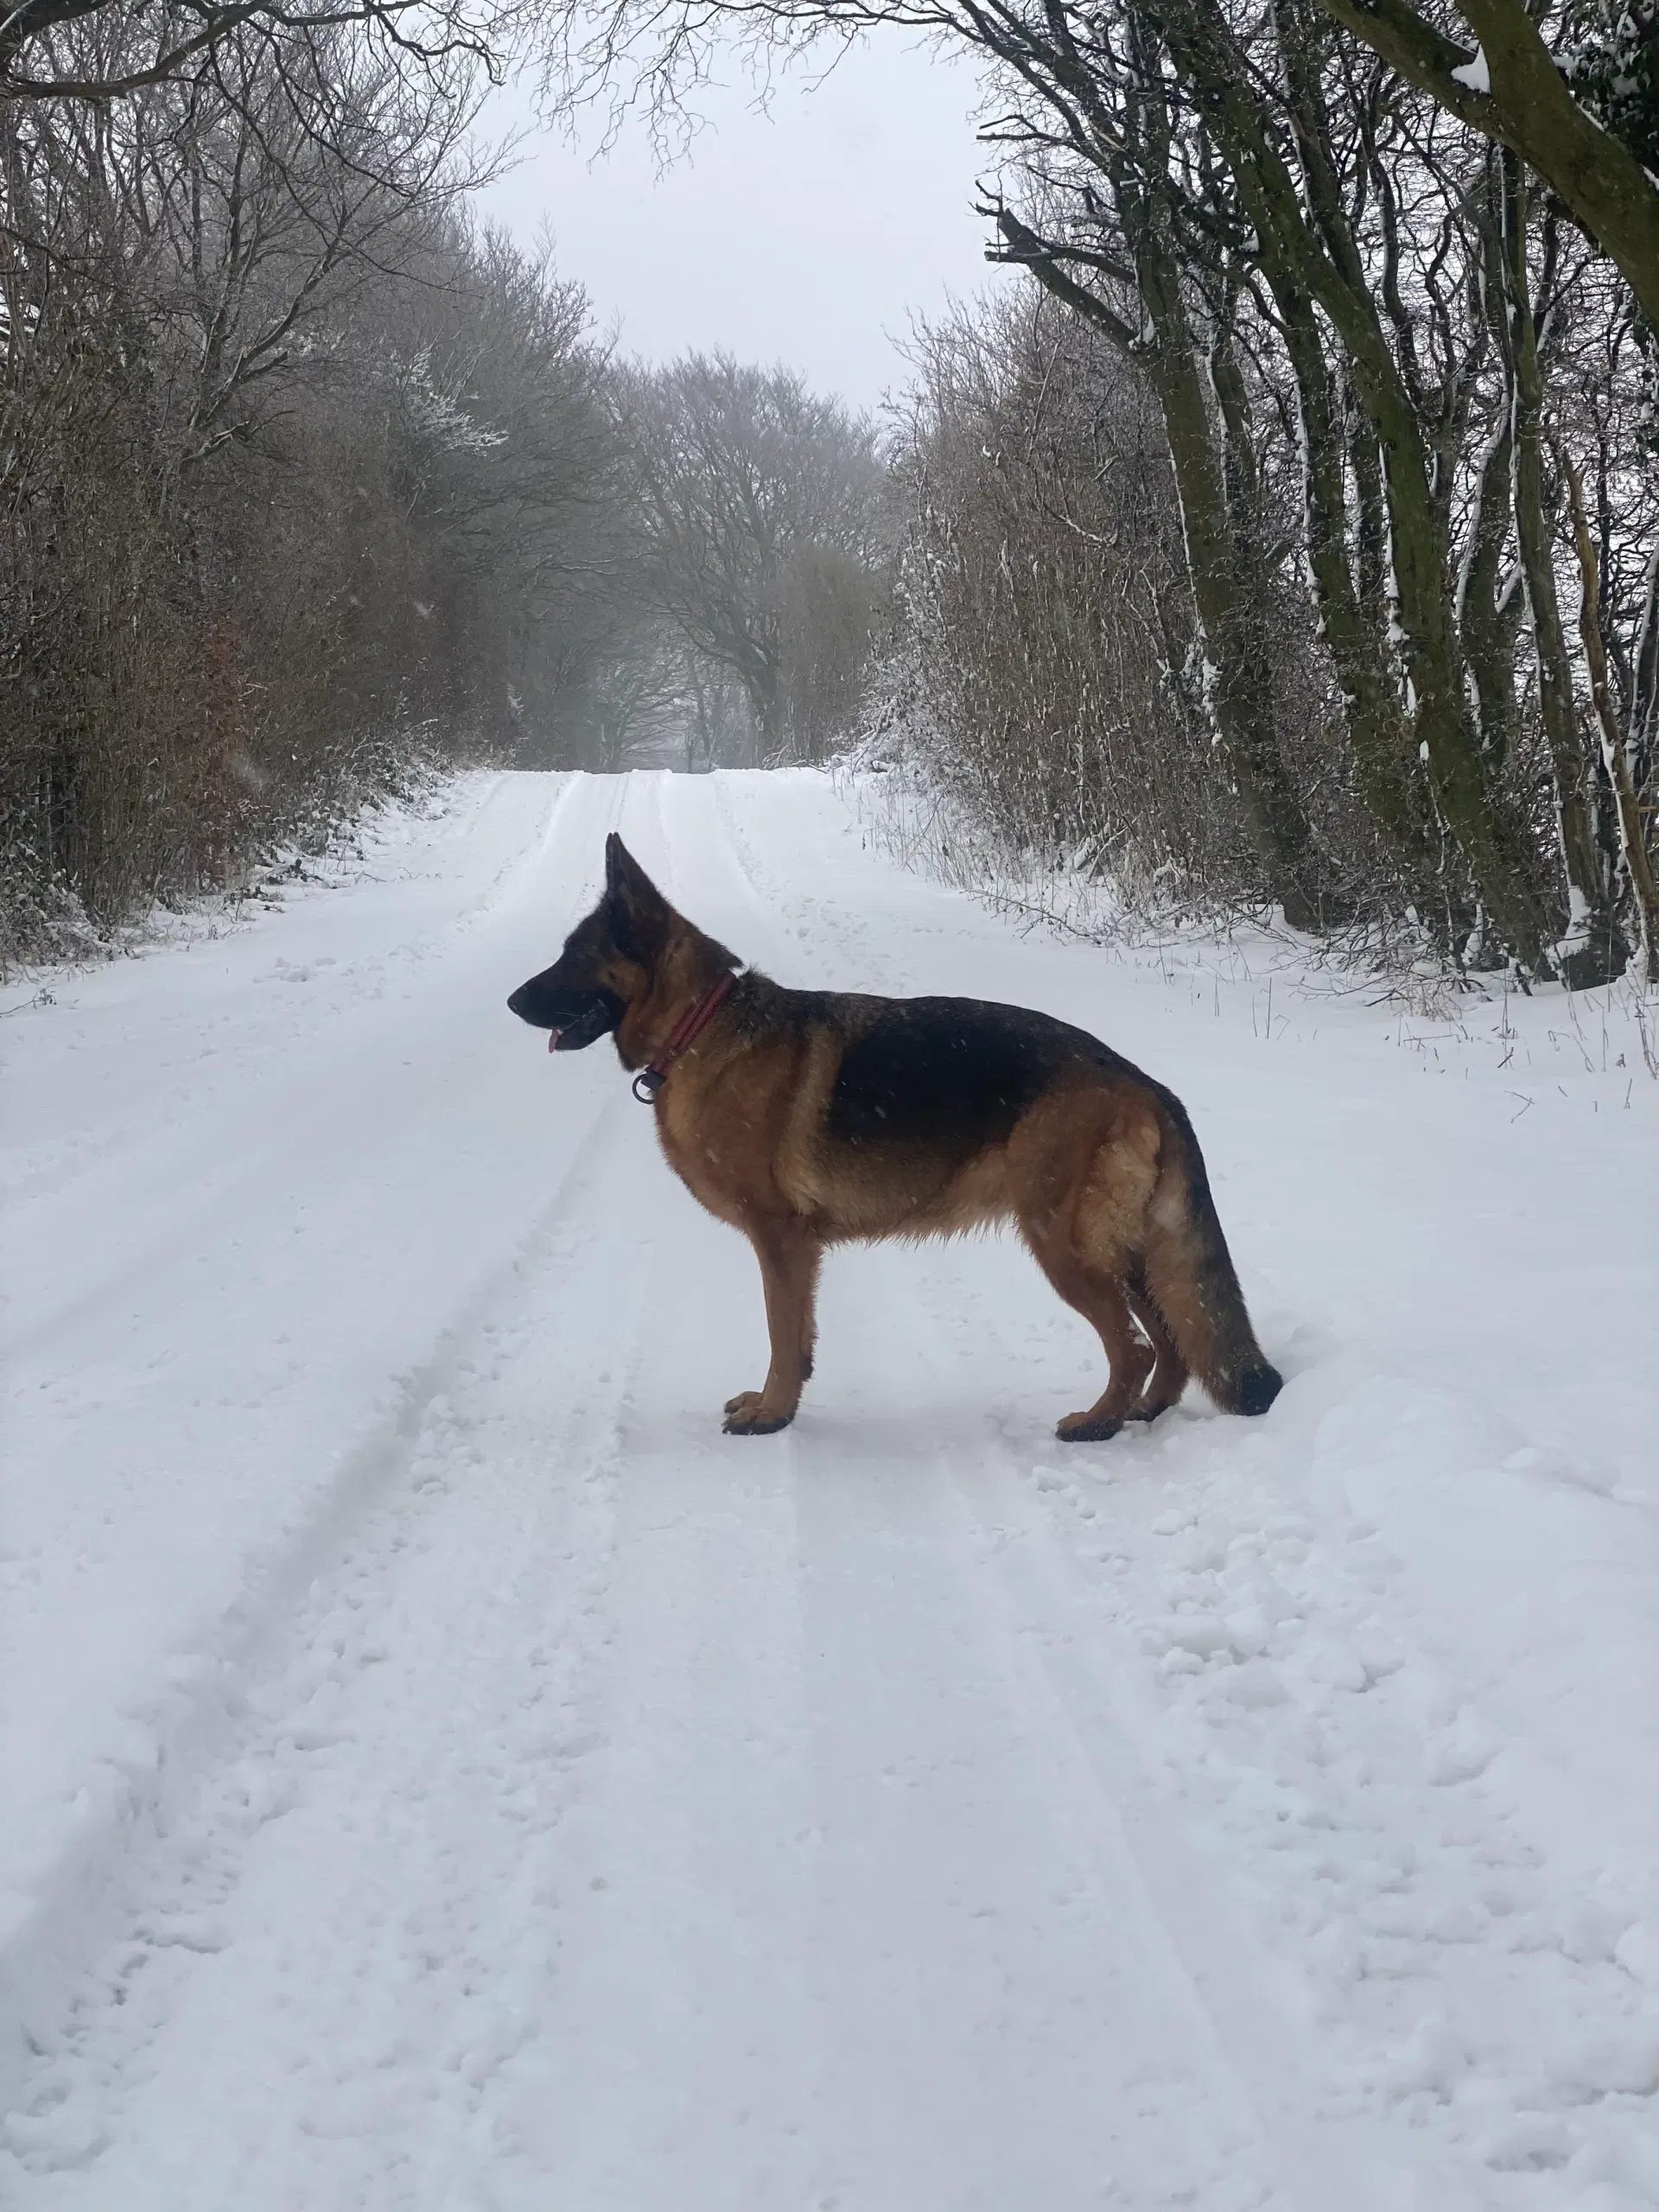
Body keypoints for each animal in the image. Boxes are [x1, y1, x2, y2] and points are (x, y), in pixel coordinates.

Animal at [506, 836, 1282, 1442]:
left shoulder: (780, 1240)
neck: (700, 1025)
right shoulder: (797, 1251)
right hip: (1129, 1251)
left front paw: (772, 1414)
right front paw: (780, 1404)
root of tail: (1142, 1080)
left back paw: (1096, 1423)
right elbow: (800, 1338)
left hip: (1063, 1244)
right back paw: (1140, 1416)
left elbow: (781, 1334)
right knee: (1171, 1343)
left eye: (573, 956)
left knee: (1135, 1346)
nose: (512, 1001)